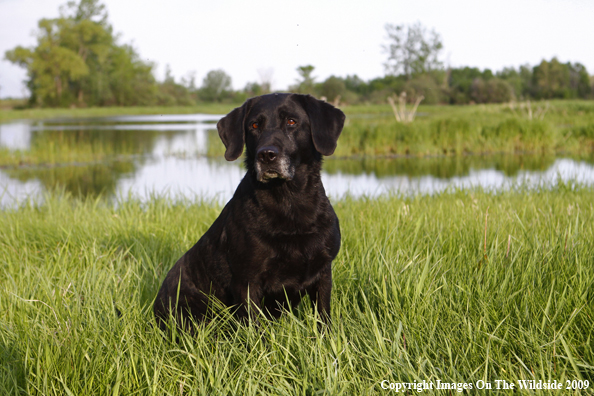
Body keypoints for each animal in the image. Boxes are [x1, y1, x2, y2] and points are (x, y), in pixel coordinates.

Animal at [155, 93, 344, 328]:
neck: (289, 203)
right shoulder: (247, 281)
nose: (267, 155)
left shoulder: (323, 272)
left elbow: (323, 317)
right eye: (254, 125)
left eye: (291, 121)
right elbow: (255, 327)